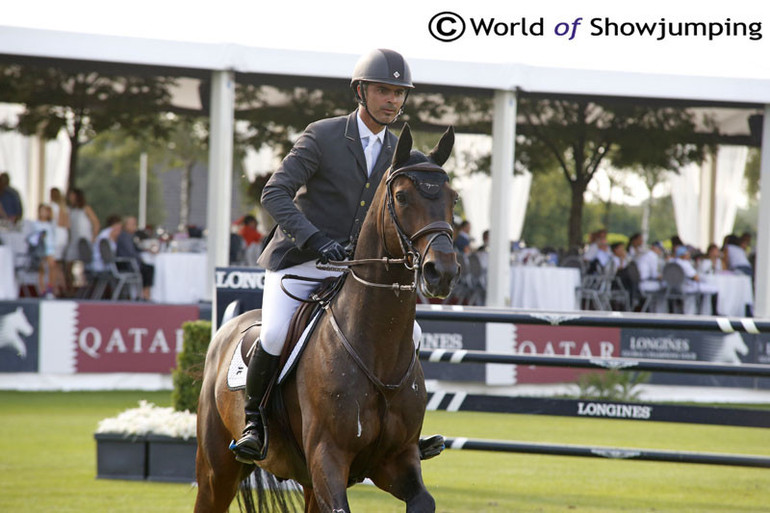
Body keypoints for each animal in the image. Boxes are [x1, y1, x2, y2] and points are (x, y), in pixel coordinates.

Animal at [196, 125, 456, 512]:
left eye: (454, 198)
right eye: (402, 197)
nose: (443, 272)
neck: (376, 349)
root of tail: (226, 330)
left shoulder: (397, 460)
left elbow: (423, 500)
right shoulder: (327, 457)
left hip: (305, 482)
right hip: (217, 473)